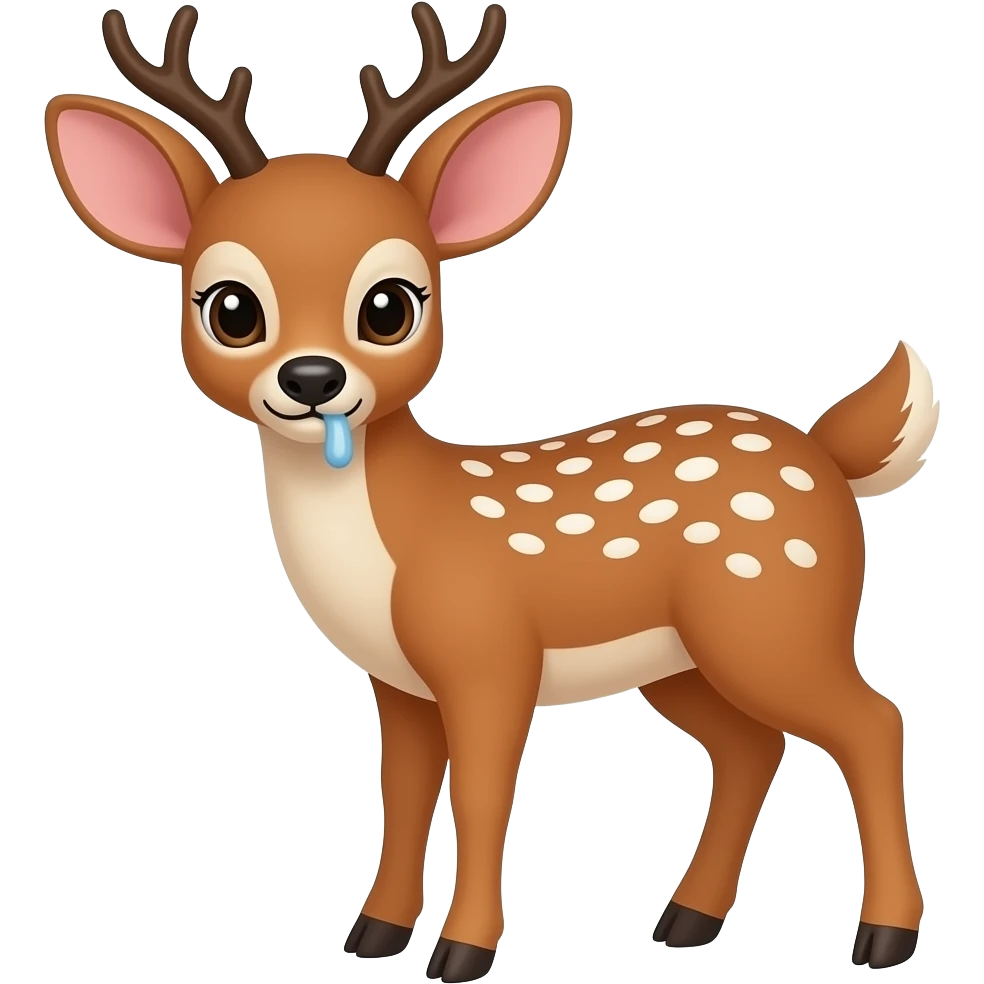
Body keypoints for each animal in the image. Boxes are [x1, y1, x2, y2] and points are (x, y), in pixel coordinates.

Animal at [43, 3, 937, 979]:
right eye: (231, 308)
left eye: (391, 306)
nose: (313, 379)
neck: (398, 537)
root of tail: (827, 454)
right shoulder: (398, 682)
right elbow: (402, 793)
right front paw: (374, 934)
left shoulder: (490, 655)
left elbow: (479, 794)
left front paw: (463, 952)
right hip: (684, 658)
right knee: (751, 745)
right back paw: (686, 920)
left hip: (774, 614)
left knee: (872, 721)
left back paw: (883, 936)